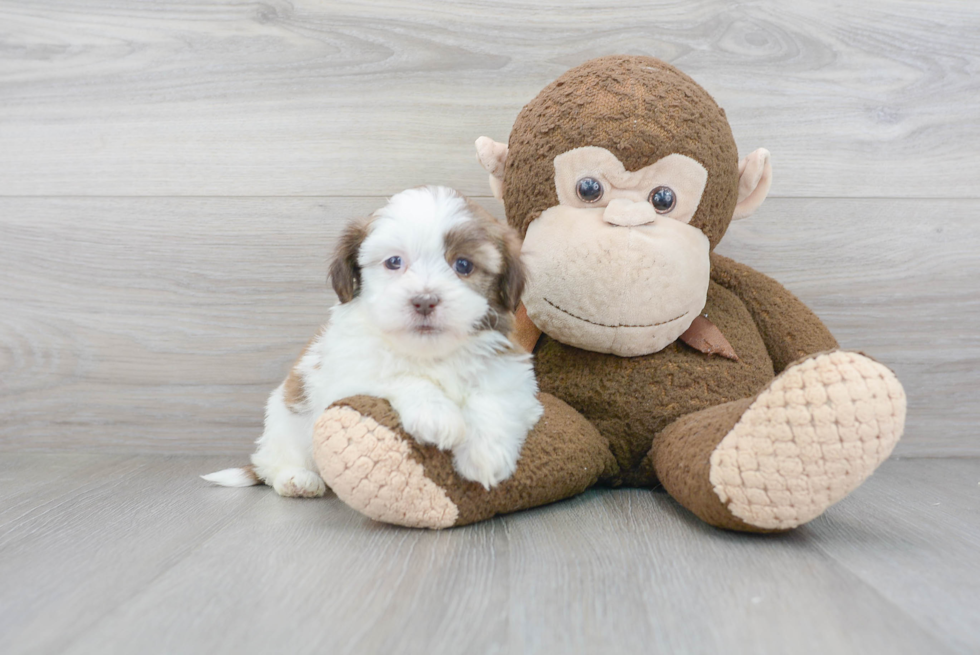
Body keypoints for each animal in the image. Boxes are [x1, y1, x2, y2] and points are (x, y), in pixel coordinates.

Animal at [205, 184, 544, 498]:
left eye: (463, 265)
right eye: (394, 262)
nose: (424, 301)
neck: (429, 353)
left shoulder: (513, 373)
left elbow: (495, 397)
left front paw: (485, 453)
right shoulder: (348, 375)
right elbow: (396, 376)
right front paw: (435, 414)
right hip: (284, 422)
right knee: (273, 462)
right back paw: (296, 479)